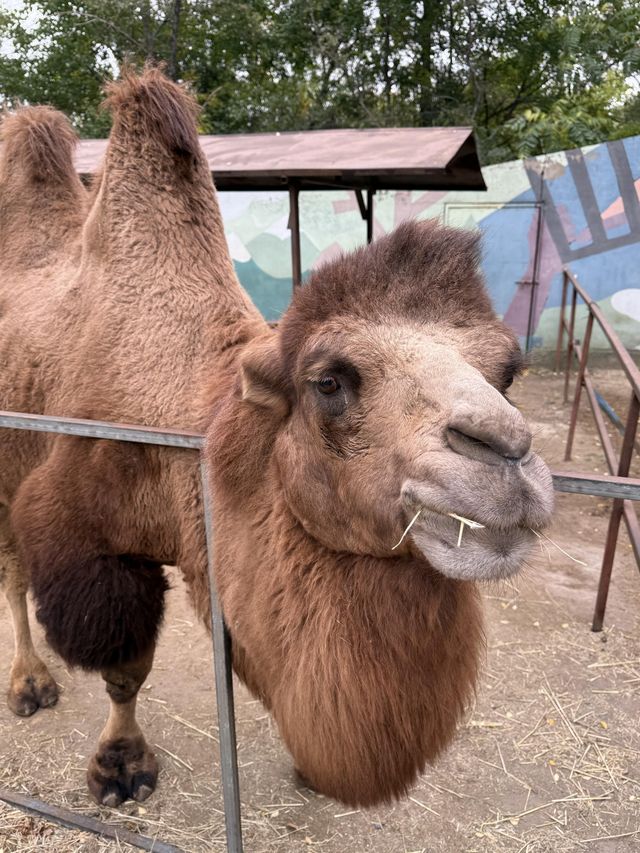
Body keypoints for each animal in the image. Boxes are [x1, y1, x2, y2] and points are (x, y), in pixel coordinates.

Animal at [1, 66, 556, 804]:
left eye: (508, 370)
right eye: (329, 381)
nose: (507, 456)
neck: (185, 419)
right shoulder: (78, 527)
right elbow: (122, 667)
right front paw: (120, 765)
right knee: (10, 571)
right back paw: (29, 684)